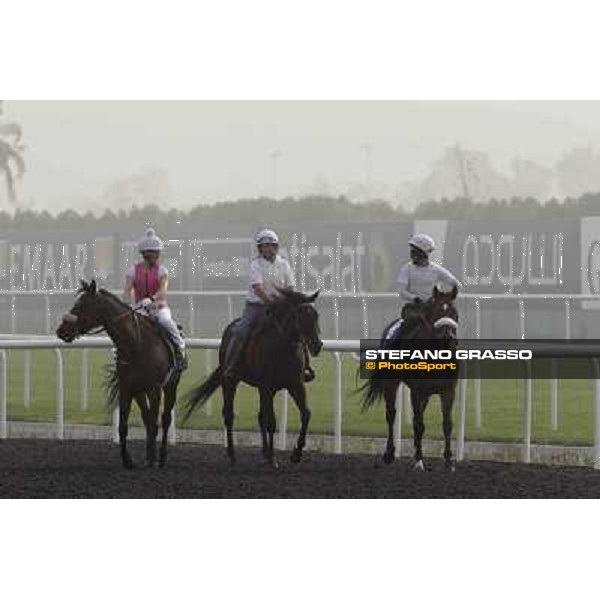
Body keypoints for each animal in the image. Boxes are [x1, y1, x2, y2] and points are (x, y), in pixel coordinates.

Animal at [56, 278, 183, 472]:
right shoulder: (127, 388)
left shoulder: (154, 389)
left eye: (82, 305)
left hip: (170, 386)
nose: (61, 331)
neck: (136, 344)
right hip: (139, 392)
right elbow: (123, 426)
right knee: (147, 418)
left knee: (165, 419)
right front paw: (127, 460)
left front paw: (151, 461)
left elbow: (155, 425)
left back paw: (160, 458)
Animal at [184, 288, 322, 466]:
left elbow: (306, 414)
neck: (282, 349)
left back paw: (263, 451)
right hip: (230, 381)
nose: (318, 346)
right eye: (300, 314)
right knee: (229, 414)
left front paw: (296, 454)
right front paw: (272, 457)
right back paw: (232, 454)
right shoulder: (267, 387)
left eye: (316, 315)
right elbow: (271, 422)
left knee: (260, 416)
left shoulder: (295, 385)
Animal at [356, 288, 460, 474]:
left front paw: (449, 461)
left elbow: (447, 424)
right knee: (391, 414)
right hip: (392, 383)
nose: (448, 337)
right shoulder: (416, 391)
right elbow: (419, 424)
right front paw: (419, 460)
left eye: (454, 313)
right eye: (437, 311)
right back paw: (389, 454)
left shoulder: (448, 391)